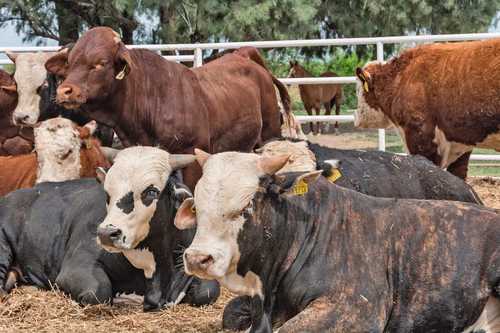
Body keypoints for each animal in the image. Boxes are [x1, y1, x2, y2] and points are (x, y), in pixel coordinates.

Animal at [0, 152, 219, 310]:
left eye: (151, 191)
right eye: (107, 193)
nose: (106, 234)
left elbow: (208, 291)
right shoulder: (75, 268)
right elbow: (98, 292)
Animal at [41, 27, 292, 188]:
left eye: (100, 63)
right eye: (70, 62)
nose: (65, 91)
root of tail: (243, 55)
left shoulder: (193, 154)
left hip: (270, 133)